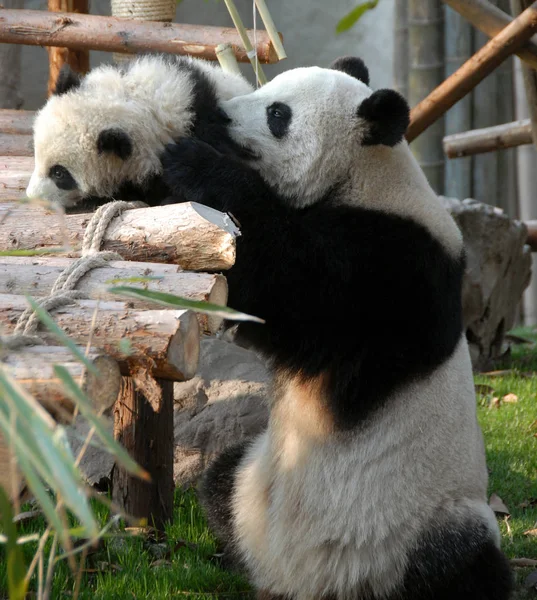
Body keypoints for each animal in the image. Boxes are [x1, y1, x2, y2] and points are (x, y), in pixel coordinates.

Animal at [161, 57, 512, 600]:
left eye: (278, 113)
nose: (220, 115)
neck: (366, 174)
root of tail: (308, 582)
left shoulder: (395, 265)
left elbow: (294, 286)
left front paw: (194, 162)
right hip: (255, 483)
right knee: (219, 480)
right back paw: (229, 556)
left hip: (426, 522)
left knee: (467, 561)